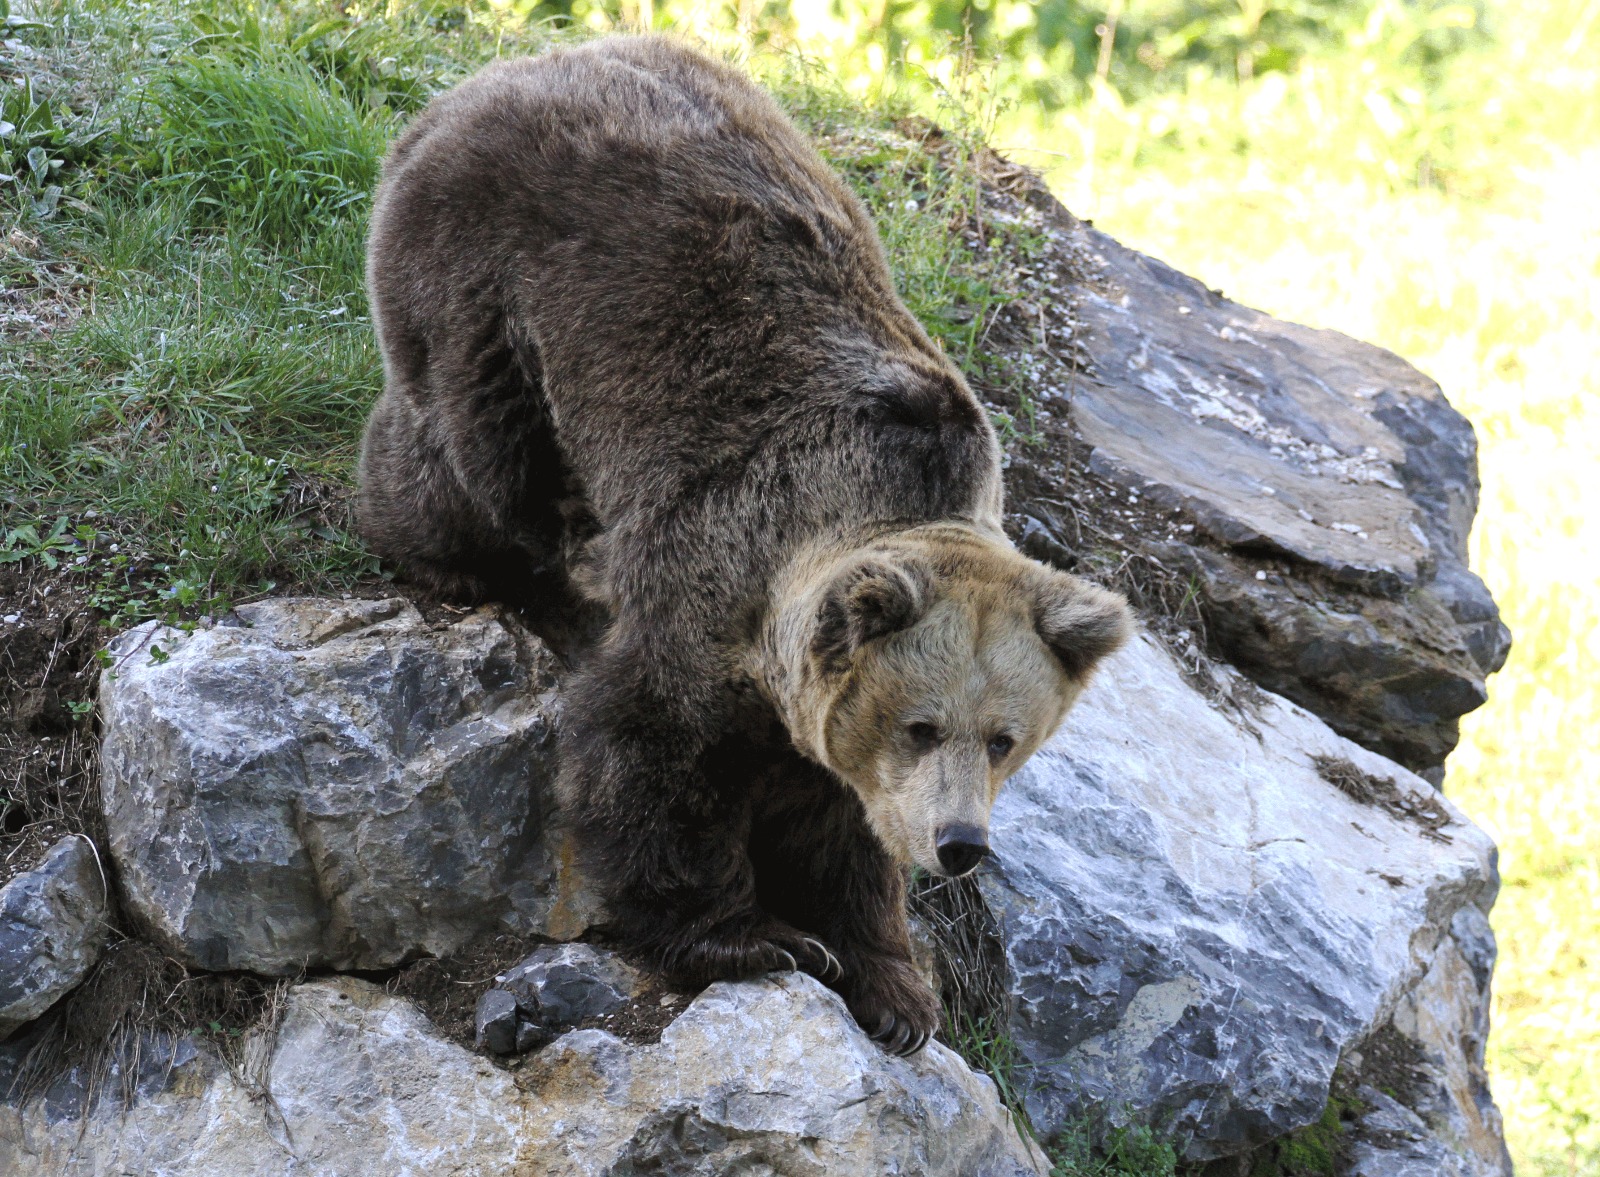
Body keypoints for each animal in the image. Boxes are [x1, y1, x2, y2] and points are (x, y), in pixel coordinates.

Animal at [363, 36, 1132, 1055]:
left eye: (1007, 739)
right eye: (923, 724)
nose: (962, 846)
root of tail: (501, 70)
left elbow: (843, 822)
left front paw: (896, 990)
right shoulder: (719, 566)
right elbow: (653, 752)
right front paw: (757, 937)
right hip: (491, 278)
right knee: (475, 458)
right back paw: (455, 554)